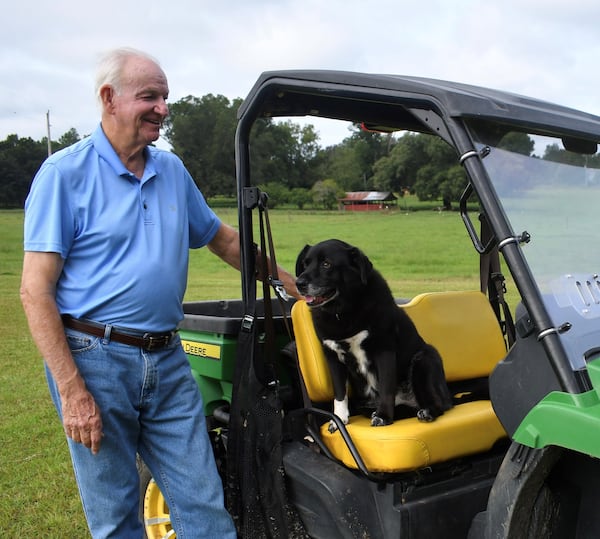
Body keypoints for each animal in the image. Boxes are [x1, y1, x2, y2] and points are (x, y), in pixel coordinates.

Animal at [296, 238, 454, 432]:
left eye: (326, 264)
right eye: (305, 264)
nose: (299, 284)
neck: (344, 310)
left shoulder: (383, 350)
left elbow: (386, 387)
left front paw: (383, 416)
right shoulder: (332, 356)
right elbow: (339, 393)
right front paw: (339, 419)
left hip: (424, 359)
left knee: (440, 403)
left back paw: (427, 411)